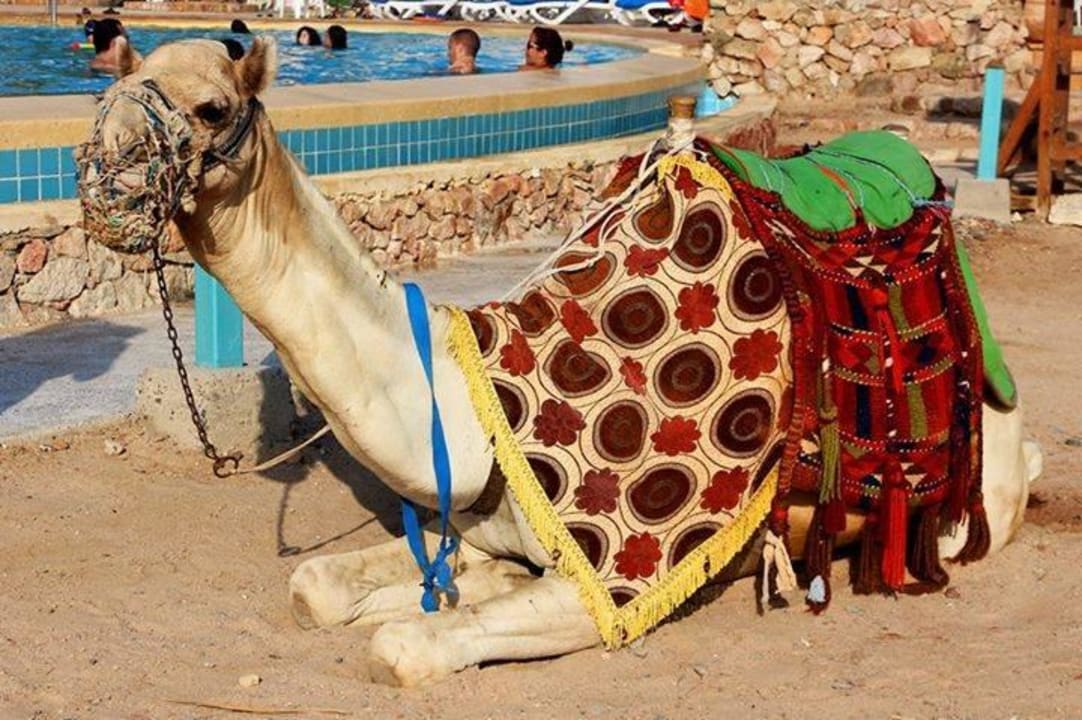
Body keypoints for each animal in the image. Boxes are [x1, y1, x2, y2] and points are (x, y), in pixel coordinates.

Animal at [79, 38, 1042, 687]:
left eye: (211, 108)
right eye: (113, 89)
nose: (100, 175)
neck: (469, 399)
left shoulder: (611, 578)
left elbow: (402, 645)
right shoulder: (477, 526)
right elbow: (319, 585)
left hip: (964, 505)